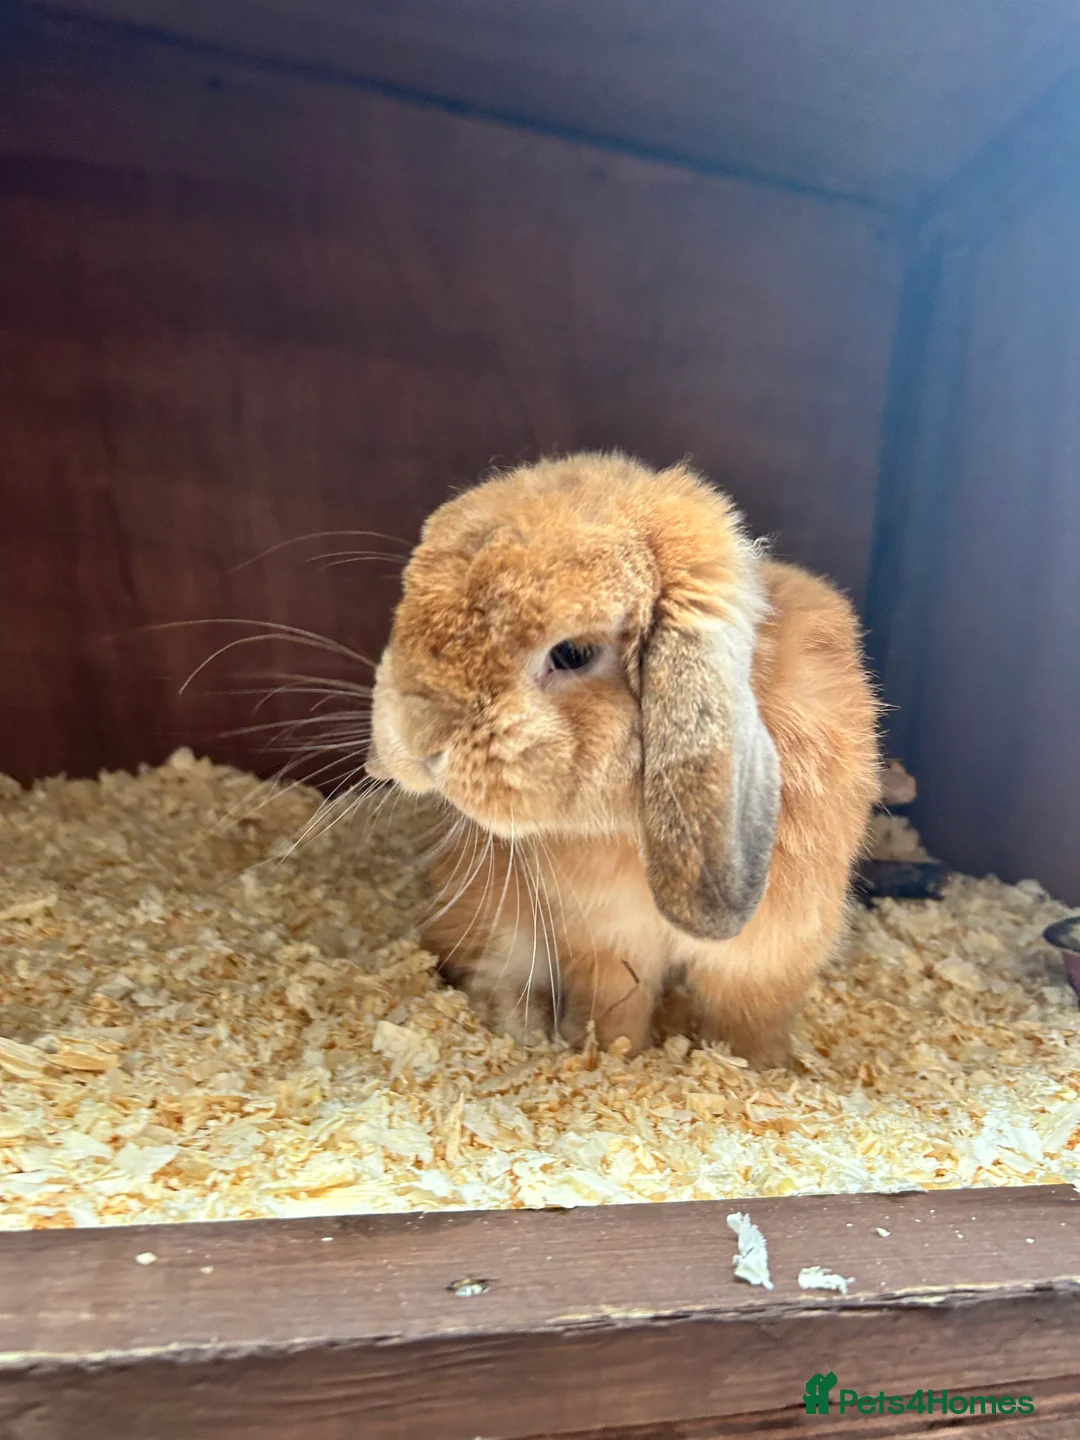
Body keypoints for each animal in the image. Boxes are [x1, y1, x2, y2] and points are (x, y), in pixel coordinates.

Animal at [366, 452, 880, 1068]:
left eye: (573, 653)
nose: (415, 741)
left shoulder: (766, 954)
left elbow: (746, 1022)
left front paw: (760, 1070)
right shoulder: (605, 938)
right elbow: (614, 1005)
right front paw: (614, 1059)